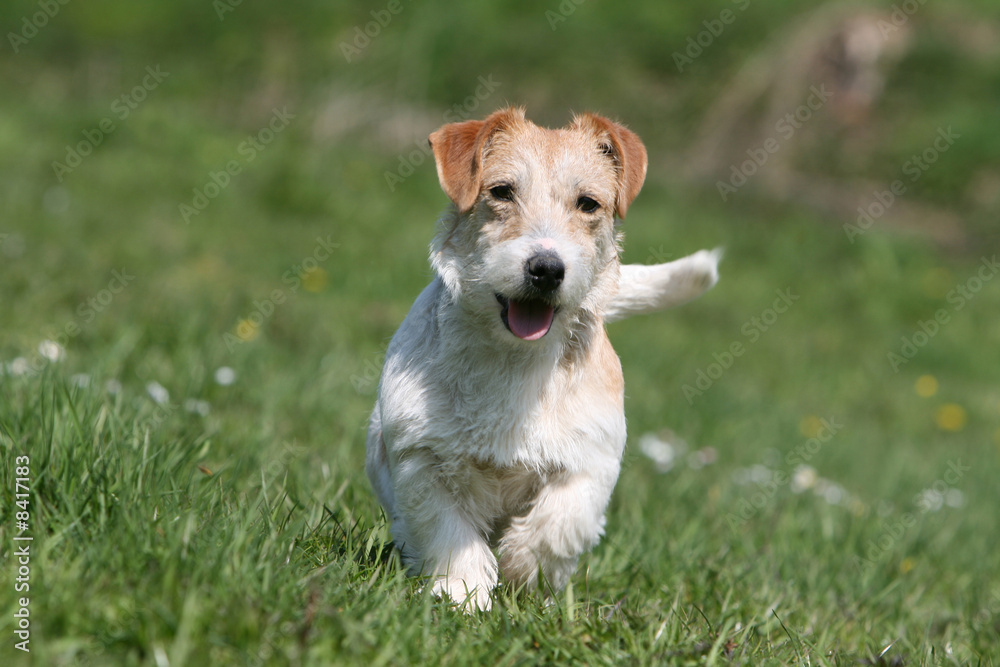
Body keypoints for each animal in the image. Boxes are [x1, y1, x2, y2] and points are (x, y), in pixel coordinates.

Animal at [368, 105, 720, 612]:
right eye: (501, 191)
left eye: (588, 204)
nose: (547, 269)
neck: (516, 359)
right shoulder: (422, 458)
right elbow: (448, 532)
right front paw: (461, 594)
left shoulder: (589, 463)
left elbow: (556, 526)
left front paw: (522, 574)